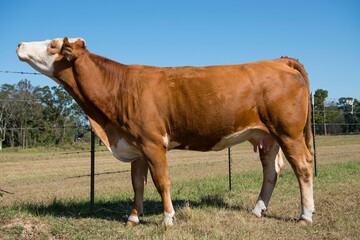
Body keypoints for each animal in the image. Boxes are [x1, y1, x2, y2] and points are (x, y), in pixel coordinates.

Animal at [16, 37, 316, 225]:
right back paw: (257, 210)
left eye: (52, 44)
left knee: (303, 167)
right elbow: (137, 184)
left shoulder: (152, 143)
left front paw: (168, 218)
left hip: (288, 133)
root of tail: (278, 60)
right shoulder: (135, 144)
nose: (19, 44)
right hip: (267, 136)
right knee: (271, 172)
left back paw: (305, 216)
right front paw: (133, 218)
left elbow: (162, 181)